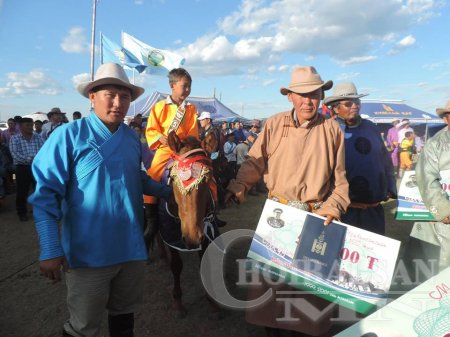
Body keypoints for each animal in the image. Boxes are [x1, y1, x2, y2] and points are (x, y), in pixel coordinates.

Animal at [158, 131, 221, 316]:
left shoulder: (206, 231)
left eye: (208, 177)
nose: (192, 236)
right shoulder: (171, 234)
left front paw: (212, 301)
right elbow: (176, 265)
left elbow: (204, 261)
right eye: (173, 178)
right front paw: (178, 301)